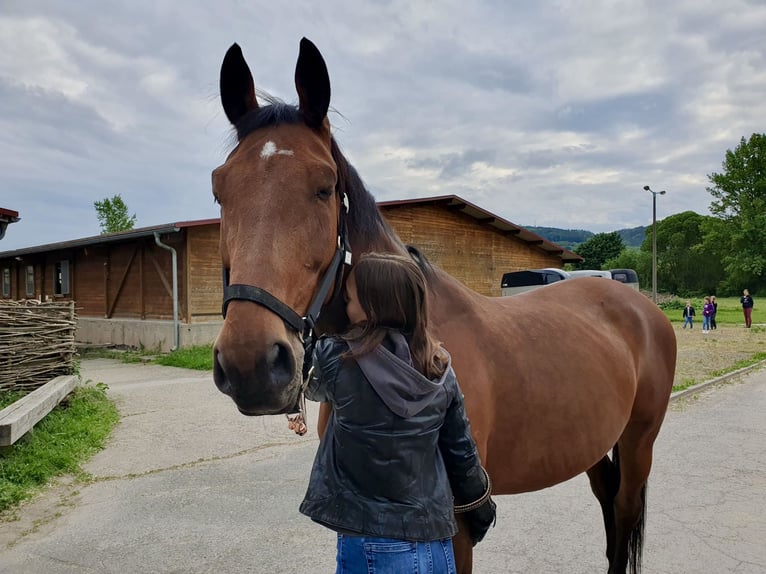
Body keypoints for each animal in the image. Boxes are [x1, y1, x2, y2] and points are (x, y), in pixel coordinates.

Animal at [212, 38, 680, 572]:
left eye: (324, 186)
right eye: (219, 189)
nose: (251, 364)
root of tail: (640, 305)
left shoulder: (458, 525)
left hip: (639, 440)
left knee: (623, 512)